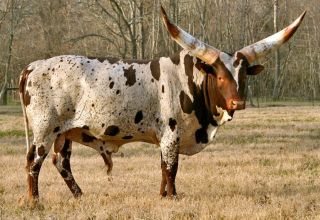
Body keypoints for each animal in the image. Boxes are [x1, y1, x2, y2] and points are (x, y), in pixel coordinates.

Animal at [19, 6, 304, 200]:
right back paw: (35, 202)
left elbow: (163, 168)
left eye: (243, 75)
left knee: (61, 163)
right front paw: (173, 197)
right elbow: (171, 168)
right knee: (34, 162)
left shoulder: (165, 138)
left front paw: (163, 195)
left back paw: (80, 195)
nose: (238, 102)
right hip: (44, 130)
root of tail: (32, 67)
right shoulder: (171, 135)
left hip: (64, 133)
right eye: (220, 76)